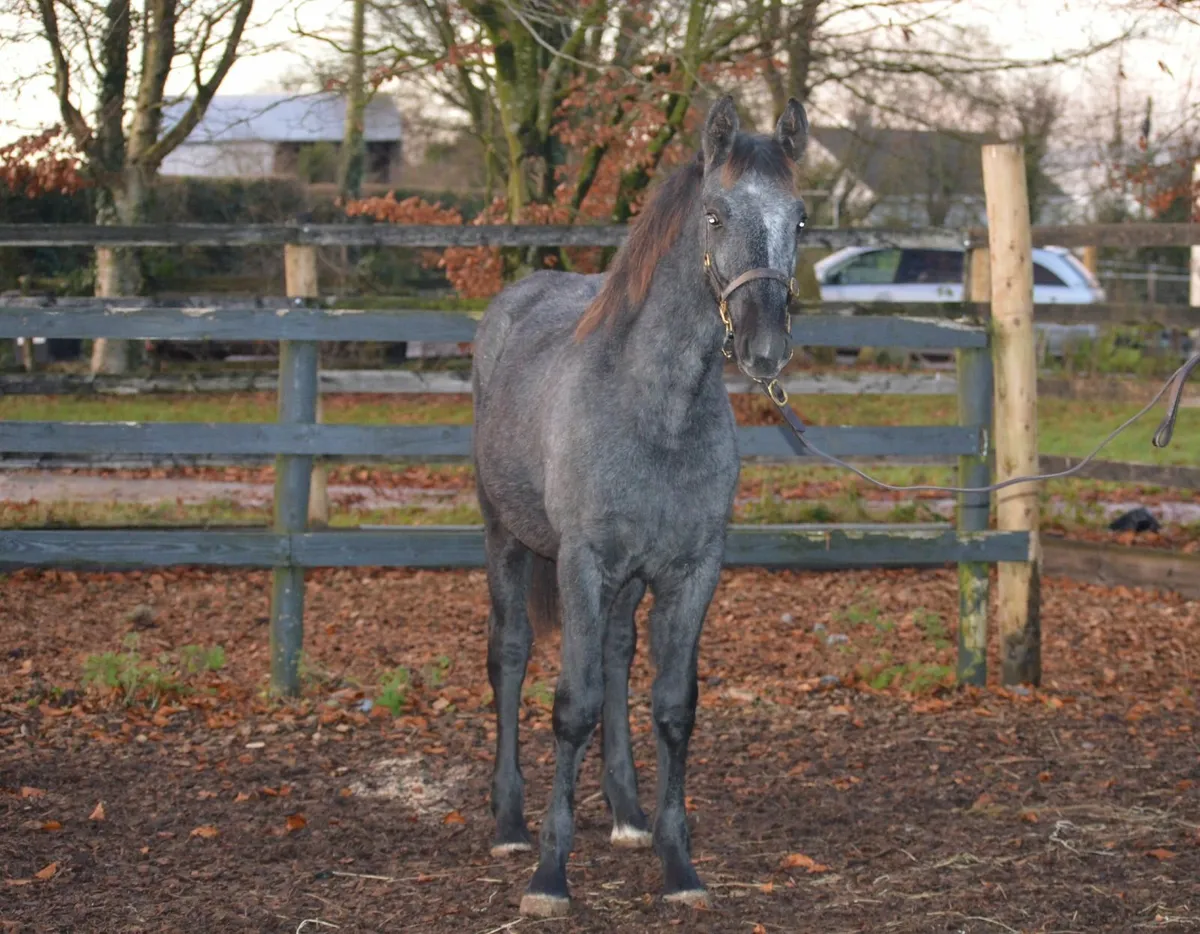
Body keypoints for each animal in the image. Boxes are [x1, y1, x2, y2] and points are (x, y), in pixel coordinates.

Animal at [470, 95, 809, 917]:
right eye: (715, 214)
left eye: (800, 219)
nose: (766, 349)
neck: (656, 411)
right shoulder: (583, 565)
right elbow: (572, 705)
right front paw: (549, 877)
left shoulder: (691, 572)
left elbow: (671, 706)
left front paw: (677, 863)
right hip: (507, 540)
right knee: (511, 655)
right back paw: (509, 824)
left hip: (624, 584)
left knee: (617, 657)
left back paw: (625, 813)